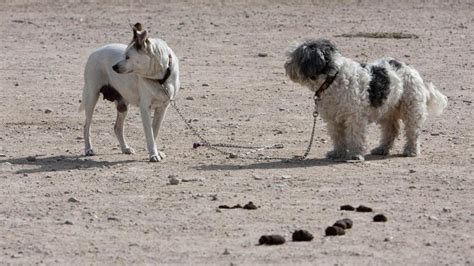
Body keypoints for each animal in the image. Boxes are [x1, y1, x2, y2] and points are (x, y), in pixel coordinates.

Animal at [286, 38, 448, 161]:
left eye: (295, 57)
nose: (286, 66)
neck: (332, 78)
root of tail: (410, 68)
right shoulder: (334, 120)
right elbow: (338, 137)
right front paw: (337, 153)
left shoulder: (355, 117)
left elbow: (355, 136)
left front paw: (355, 155)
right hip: (387, 110)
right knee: (391, 130)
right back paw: (381, 149)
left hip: (411, 109)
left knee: (412, 131)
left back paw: (411, 150)